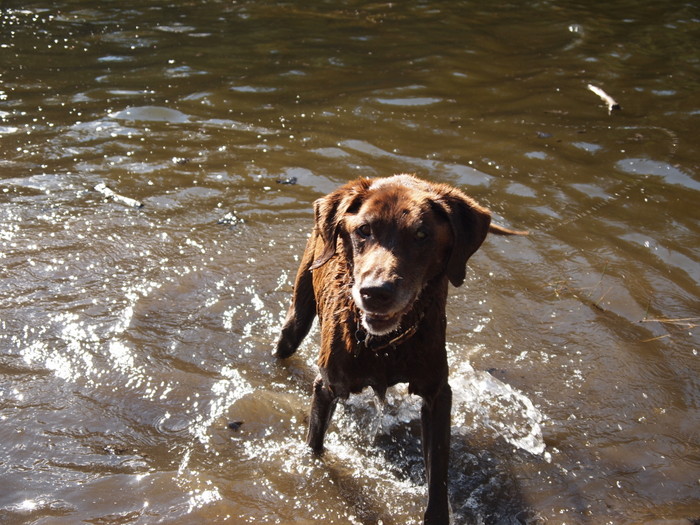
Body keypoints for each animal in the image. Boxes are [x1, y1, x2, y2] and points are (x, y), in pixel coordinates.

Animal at [274, 175, 524, 524]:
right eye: (363, 230)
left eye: (422, 235)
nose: (375, 292)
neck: (382, 346)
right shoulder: (327, 386)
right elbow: (315, 445)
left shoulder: (437, 394)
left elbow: (438, 476)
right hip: (299, 312)